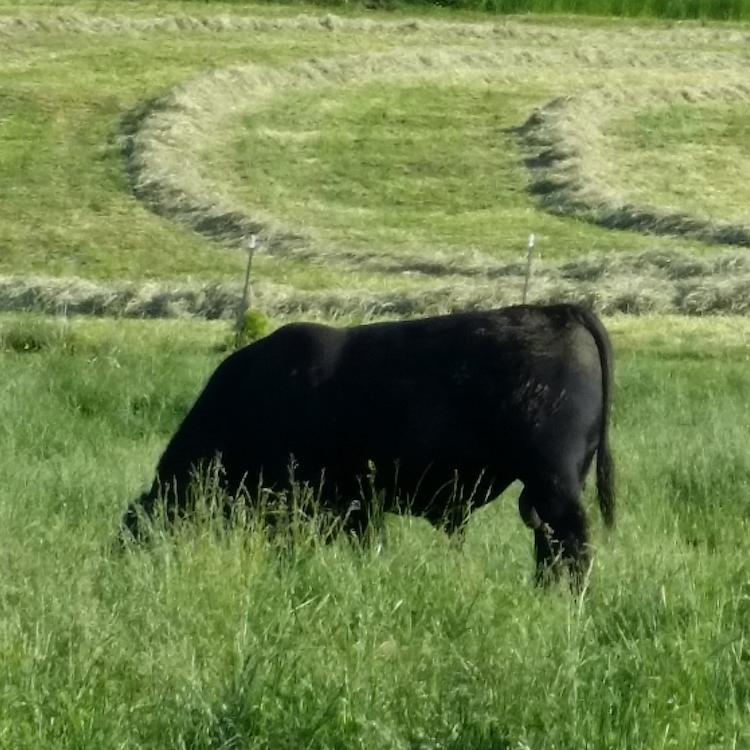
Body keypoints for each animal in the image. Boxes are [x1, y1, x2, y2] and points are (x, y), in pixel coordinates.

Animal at [123, 302, 616, 584]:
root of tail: (560, 310)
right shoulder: (358, 507)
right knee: (551, 547)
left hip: (555, 483)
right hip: (545, 491)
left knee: (572, 545)